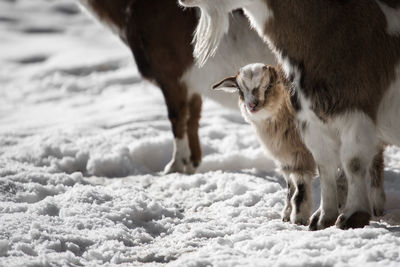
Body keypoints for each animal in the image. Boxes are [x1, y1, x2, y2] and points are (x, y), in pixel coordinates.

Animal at [77, 0, 276, 175]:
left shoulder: (171, 76)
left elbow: (177, 117)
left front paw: (175, 165)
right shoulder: (192, 85)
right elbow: (192, 118)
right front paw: (192, 163)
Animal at [182, 0, 400, 230]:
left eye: (269, 85)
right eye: (240, 90)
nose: (253, 105)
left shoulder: (354, 110)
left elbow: (351, 164)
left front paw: (347, 217)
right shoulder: (310, 128)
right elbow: (321, 167)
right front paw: (320, 218)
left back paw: (374, 205)